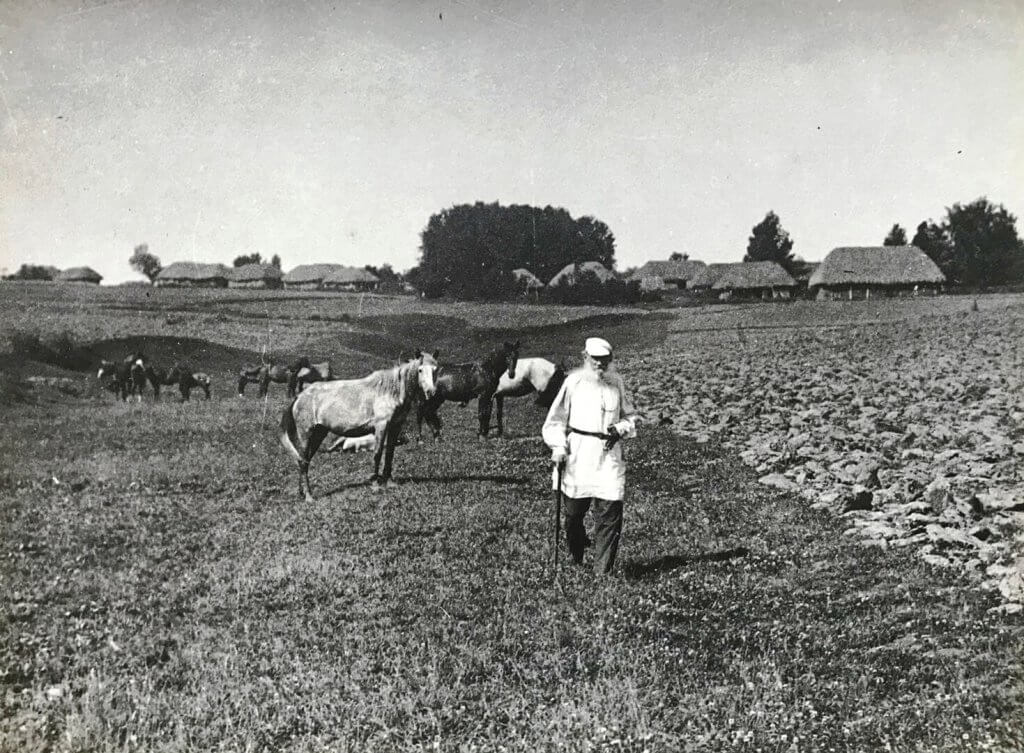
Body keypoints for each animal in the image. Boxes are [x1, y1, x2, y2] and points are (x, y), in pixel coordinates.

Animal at [282, 352, 438, 499]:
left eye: (435, 369)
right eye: (420, 370)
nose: (431, 392)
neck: (390, 390)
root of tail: (299, 397)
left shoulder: (395, 426)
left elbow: (390, 453)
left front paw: (389, 482)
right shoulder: (381, 426)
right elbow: (377, 453)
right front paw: (375, 484)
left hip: (319, 433)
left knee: (304, 460)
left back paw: (302, 492)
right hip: (306, 435)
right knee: (303, 460)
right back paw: (308, 496)